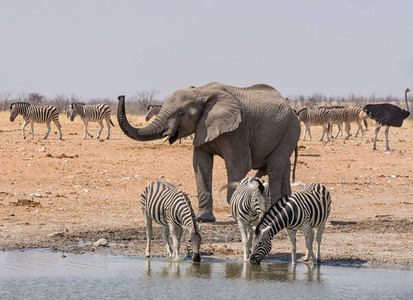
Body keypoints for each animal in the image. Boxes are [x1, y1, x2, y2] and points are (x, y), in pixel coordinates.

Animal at [116, 82, 300, 223]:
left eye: (181, 113)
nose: (120, 96)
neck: (201, 91)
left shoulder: (238, 129)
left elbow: (238, 164)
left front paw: (237, 214)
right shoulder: (202, 127)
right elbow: (200, 164)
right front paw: (203, 218)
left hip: (291, 129)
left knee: (274, 167)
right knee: (284, 166)